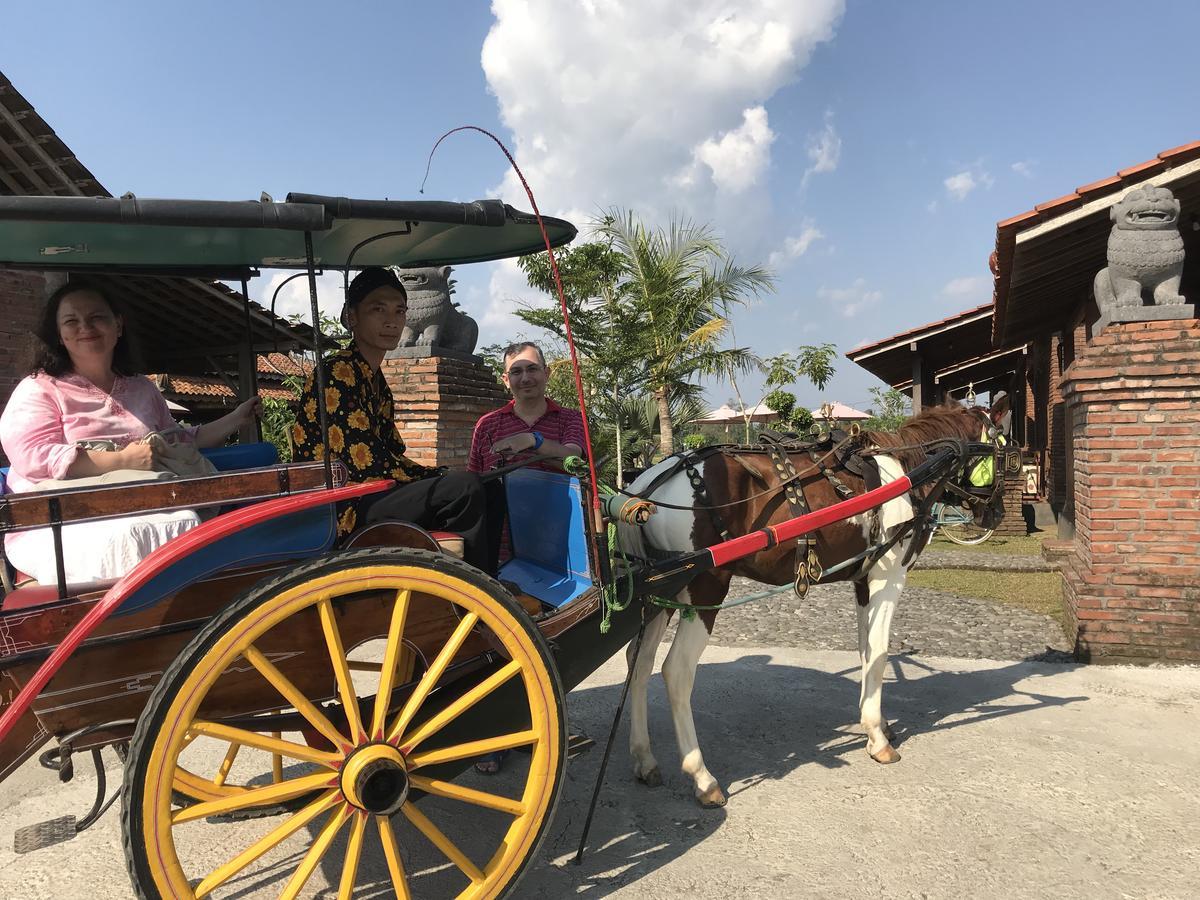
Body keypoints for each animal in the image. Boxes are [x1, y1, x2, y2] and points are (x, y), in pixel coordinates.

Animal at [614, 400, 1008, 811]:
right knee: (676, 671)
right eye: (1004, 451)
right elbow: (880, 650)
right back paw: (702, 777)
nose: (995, 513)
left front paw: (877, 720)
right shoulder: (888, 576)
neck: (906, 472)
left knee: (639, 662)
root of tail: (644, 487)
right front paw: (877, 738)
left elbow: (865, 650)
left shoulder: (863, 580)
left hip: (659, 595)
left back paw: (644, 757)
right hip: (705, 589)